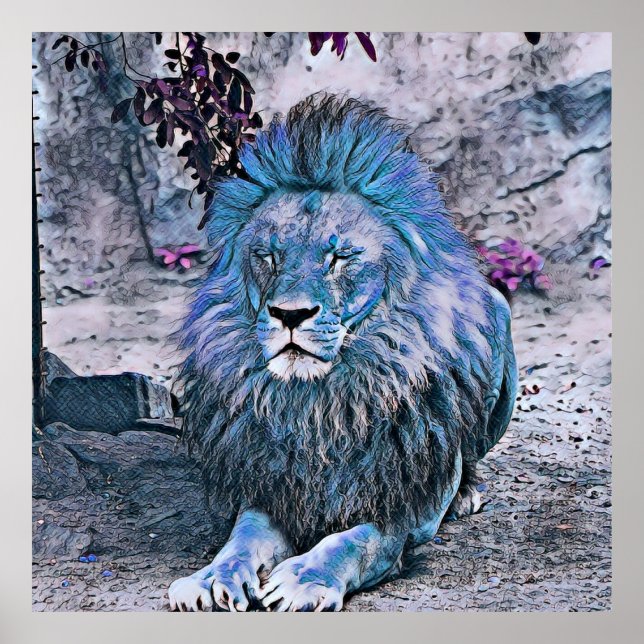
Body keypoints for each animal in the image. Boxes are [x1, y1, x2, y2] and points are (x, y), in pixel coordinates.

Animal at [168, 94, 518, 612]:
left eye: (339, 258)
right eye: (268, 255)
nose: (290, 315)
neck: (323, 404)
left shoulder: (403, 506)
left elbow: (354, 540)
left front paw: (304, 580)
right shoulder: (271, 488)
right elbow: (242, 537)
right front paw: (211, 577)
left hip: (499, 318)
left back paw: (467, 493)